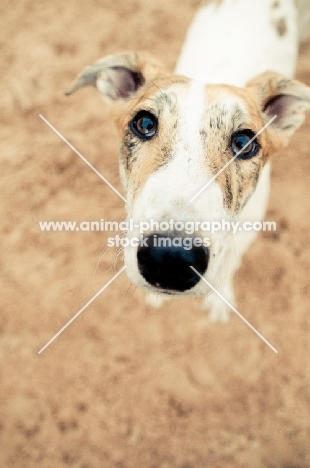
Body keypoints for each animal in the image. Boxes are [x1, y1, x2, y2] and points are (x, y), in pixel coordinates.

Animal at [66, 0, 310, 322]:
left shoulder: (244, 233)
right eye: (144, 123)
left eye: (245, 143)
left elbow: (230, 263)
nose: (171, 258)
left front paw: (220, 300)